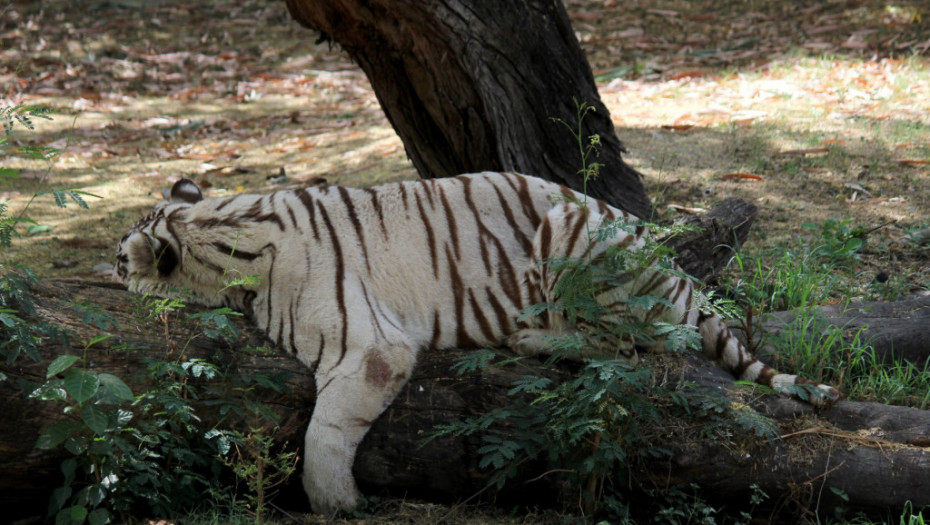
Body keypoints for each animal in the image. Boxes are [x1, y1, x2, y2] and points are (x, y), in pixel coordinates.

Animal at [116, 173, 840, 516]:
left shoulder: (370, 346)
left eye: (122, 261)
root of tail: (679, 277)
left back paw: (535, 335)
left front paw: (334, 503)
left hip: (573, 235)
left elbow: (325, 431)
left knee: (632, 346)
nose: (109, 265)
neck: (220, 231)